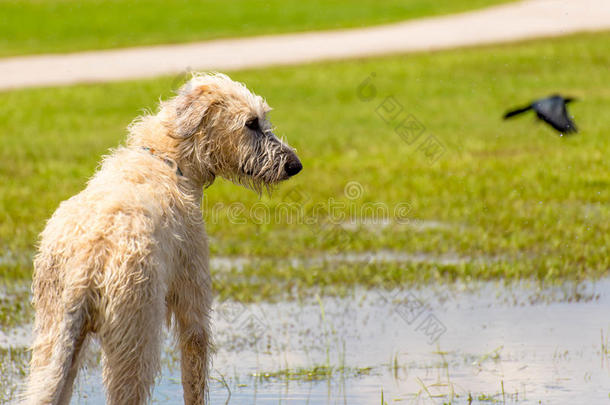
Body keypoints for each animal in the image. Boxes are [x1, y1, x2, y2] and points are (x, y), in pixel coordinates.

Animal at [23, 73, 302, 404]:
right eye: (251, 123)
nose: (295, 165)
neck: (168, 158)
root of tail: (87, 260)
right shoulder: (192, 280)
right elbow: (194, 356)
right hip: (135, 327)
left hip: (52, 328)